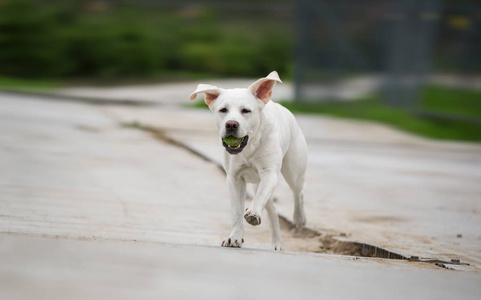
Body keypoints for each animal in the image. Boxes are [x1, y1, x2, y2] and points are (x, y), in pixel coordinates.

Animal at [188, 71, 308, 250]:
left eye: (246, 110)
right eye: (223, 110)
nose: (231, 124)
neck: (249, 146)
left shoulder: (269, 174)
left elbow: (259, 197)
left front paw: (253, 213)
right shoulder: (234, 179)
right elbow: (236, 212)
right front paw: (235, 237)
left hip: (293, 171)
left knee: (298, 193)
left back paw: (299, 219)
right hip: (259, 182)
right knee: (273, 210)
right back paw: (277, 242)